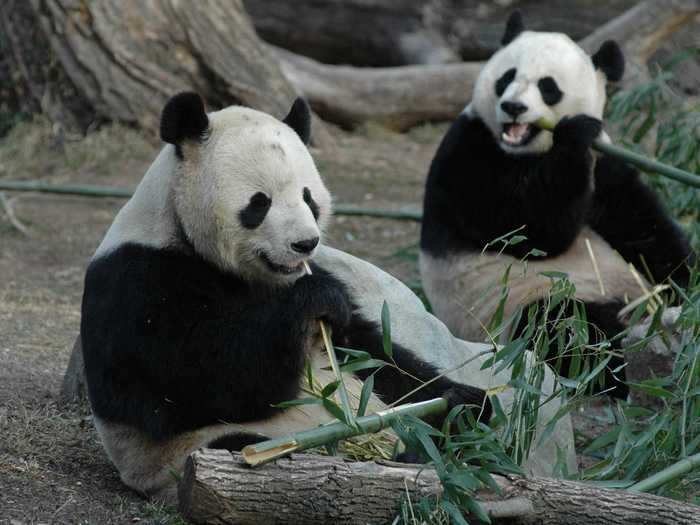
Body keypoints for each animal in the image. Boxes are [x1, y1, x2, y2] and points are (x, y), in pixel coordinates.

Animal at [80, 92, 576, 502]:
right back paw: (398, 456)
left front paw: (465, 401)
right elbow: (198, 378)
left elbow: (378, 354)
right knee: (259, 447)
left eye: (308, 197)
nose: (305, 243)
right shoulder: (138, 281)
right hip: (183, 454)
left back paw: (454, 431)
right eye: (259, 202)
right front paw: (311, 303)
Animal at [418, 11, 696, 398]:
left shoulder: (605, 164)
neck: (530, 151)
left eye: (548, 86)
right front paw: (574, 134)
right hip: (518, 304)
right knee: (566, 329)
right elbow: (529, 231)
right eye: (507, 77)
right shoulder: (470, 150)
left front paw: (686, 283)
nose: (513, 107)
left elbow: (643, 226)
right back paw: (607, 377)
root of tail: (633, 311)